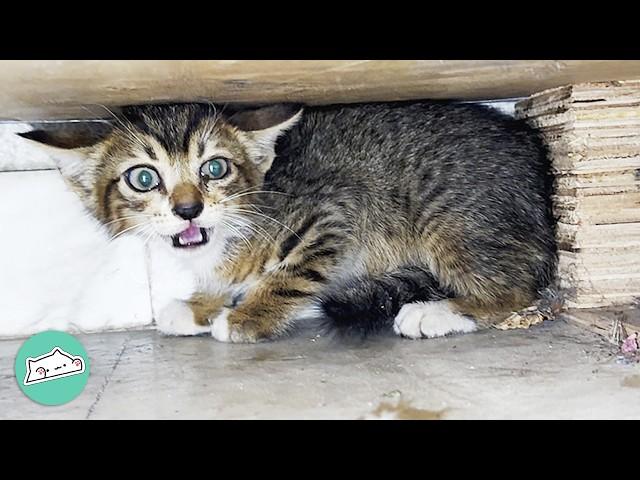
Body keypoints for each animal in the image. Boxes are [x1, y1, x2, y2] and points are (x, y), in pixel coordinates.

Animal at [21, 102, 556, 342]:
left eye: (215, 168)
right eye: (143, 177)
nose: (188, 209)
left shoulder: (334, 213)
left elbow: (290, 275)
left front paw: (244, 317)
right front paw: (200, 305)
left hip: (450, 217)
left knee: (518, 289)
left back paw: (440, 312)